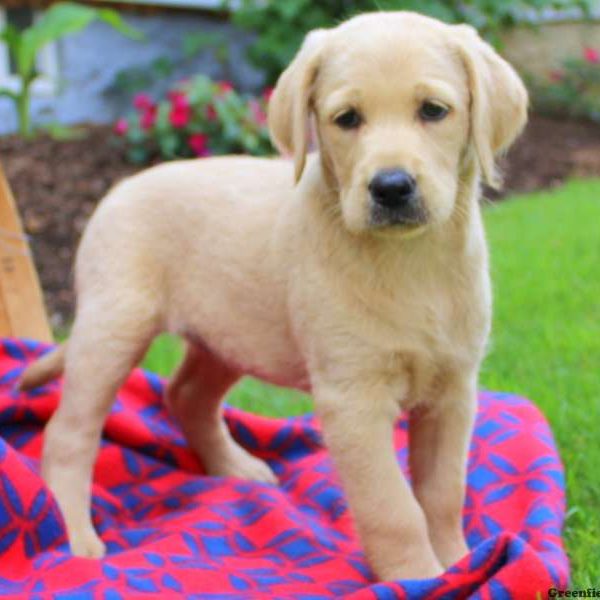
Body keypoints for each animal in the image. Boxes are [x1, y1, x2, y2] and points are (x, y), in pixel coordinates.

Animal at [19, 10, 524, 580]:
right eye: (347, 119)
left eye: (434, 110)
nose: (391, 187)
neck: (411, 261)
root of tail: (116, 191)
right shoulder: (353, 400)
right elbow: (393, 508)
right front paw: (419, 578)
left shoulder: (453, 391)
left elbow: (442, 493)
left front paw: (461, 561)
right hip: (113, 327)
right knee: (69, 432)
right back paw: (75, 533)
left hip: (228, 332)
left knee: (185, 396)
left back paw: (234, 468)